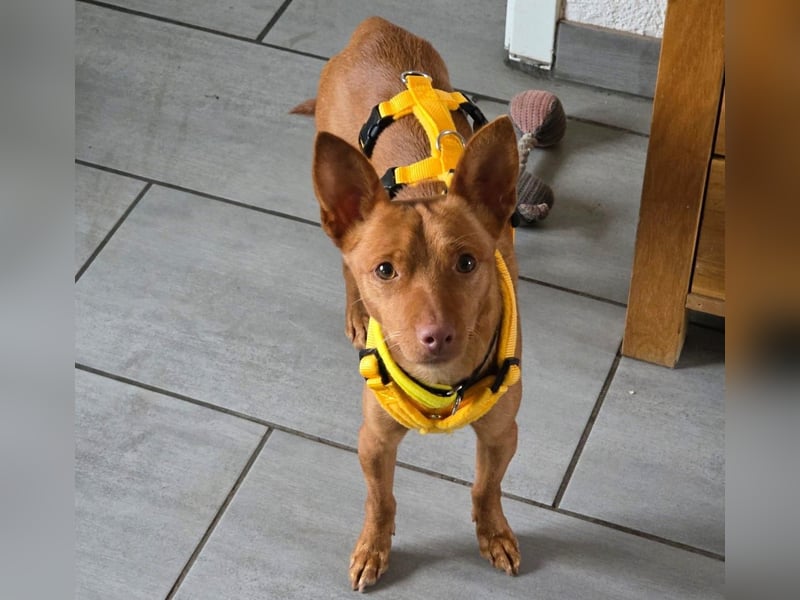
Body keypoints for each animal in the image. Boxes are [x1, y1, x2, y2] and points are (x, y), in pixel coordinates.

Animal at [292, 17, 522, 591]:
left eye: (467, 263)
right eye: (384, 271)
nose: (436, 336)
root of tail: (375, 28)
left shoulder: (502, 435)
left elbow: (486, 487)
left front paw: (493, 534)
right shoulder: (373, 442)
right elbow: (381, 501)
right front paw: (373, 548)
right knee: (341, 264)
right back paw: (355, 312)